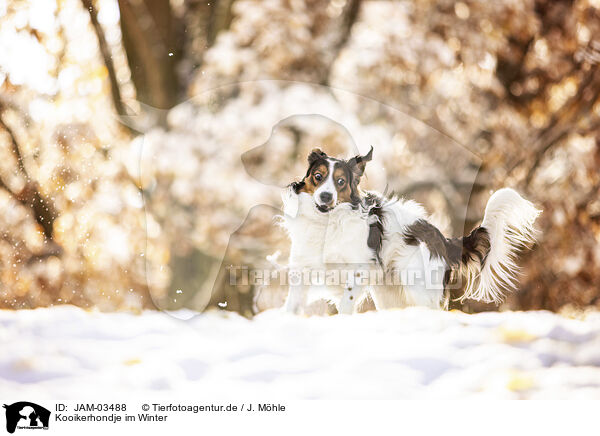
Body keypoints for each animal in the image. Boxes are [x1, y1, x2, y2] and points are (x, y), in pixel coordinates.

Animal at [278, 146, 540, 314]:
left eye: (341, 181)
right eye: (318, 176)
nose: (325, 196)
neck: (327, 224)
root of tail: (443, 240)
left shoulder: (360, 269)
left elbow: (345, 303)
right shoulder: (302, 269)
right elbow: (291, 307)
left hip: (419, 288)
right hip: (389, 294)